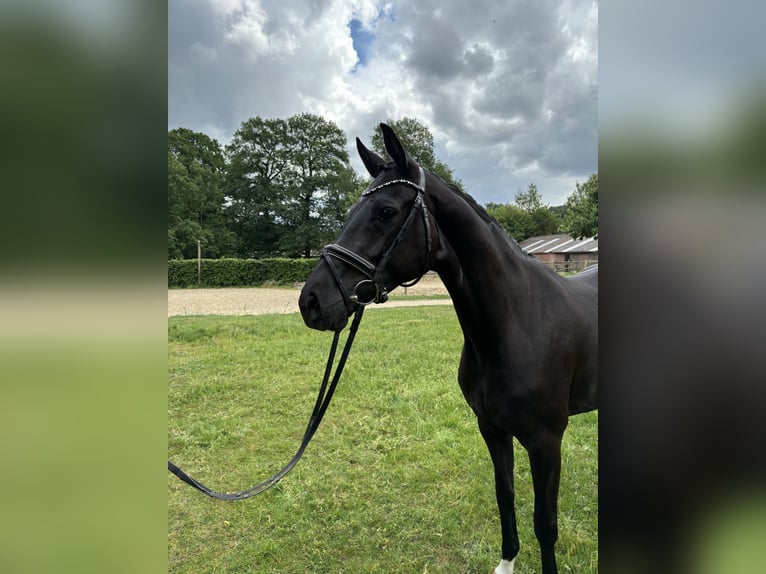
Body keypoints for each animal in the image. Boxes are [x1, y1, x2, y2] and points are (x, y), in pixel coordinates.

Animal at [296, 125, 596, 574]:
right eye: (349, 213)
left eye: (385, 211)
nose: (311, 301)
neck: (515, 323)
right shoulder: (492, 429)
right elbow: (505, 497)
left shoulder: (546, 441)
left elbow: (546, 524)